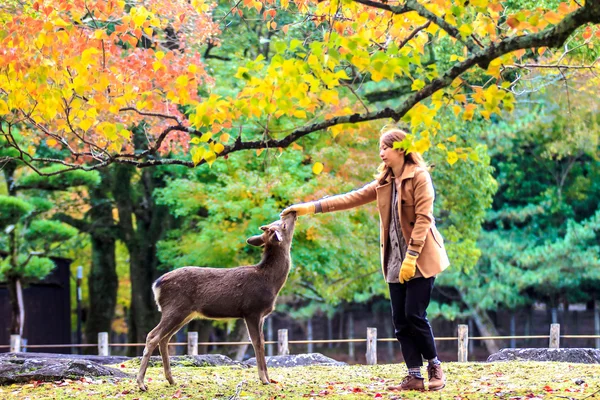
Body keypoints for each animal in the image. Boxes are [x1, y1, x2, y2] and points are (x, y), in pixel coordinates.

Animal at [135, 212, 296, 390]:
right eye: (283, 225)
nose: (293, 213)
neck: (271, 282)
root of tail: (156, 285)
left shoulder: (262, 315)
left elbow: (262, 341)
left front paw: (268, 378)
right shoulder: (252, 310)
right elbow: (257, 342)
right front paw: (264, 379)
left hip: (184, 313)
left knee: (164, 339)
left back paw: (171, 380)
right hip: (175, 308)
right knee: (153, 336)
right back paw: (141, 383)